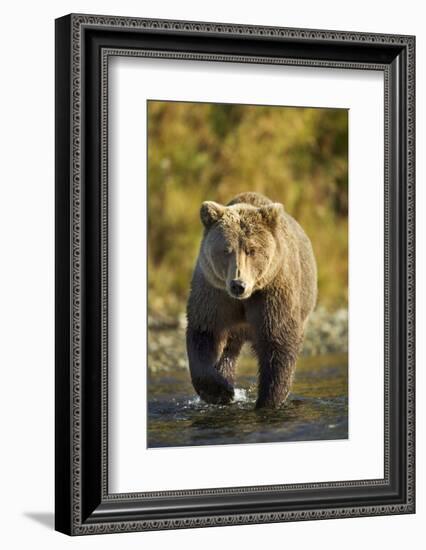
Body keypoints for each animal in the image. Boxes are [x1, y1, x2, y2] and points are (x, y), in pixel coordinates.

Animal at [186, 193, 316, 410]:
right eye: (226, 250)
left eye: (252, 250)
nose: (238, 284)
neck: (244, 299)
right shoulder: (214, 294)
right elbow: (204, 334)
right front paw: (220, 391)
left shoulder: (272, 293)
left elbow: (278, 342)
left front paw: (268, 401)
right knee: (228, 350)